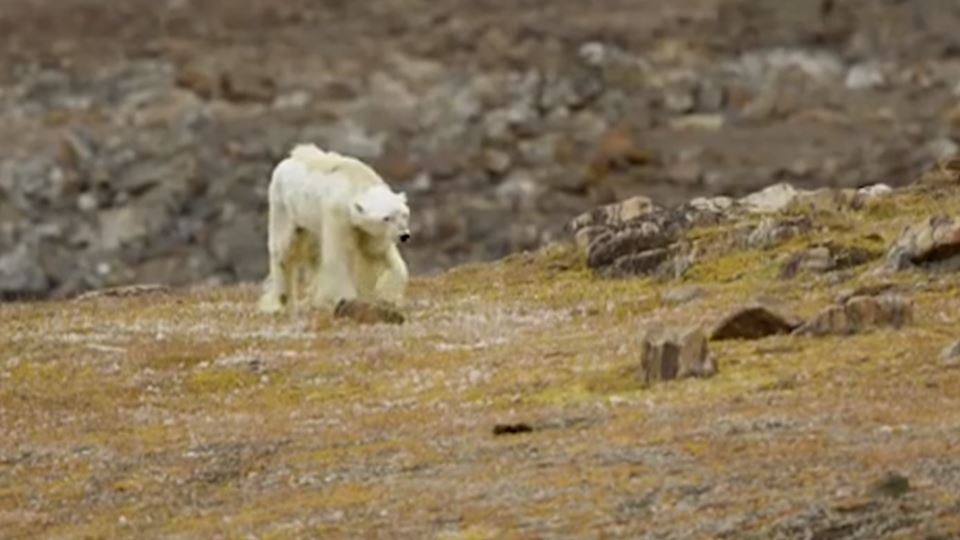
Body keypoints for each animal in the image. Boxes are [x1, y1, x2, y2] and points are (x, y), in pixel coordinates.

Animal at [257, 143, 411, 314]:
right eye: (386, 218)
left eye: (404, 214)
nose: (404, 235)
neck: (355, 181)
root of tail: (285, 161)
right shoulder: (338, 216)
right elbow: (339, 258)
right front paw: (347, 298)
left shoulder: (366, 231)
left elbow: (376, 252)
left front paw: (387, 296)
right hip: (284, 207)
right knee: (284, 250)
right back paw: (283, 301)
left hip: (312, 223)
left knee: (314, 253)